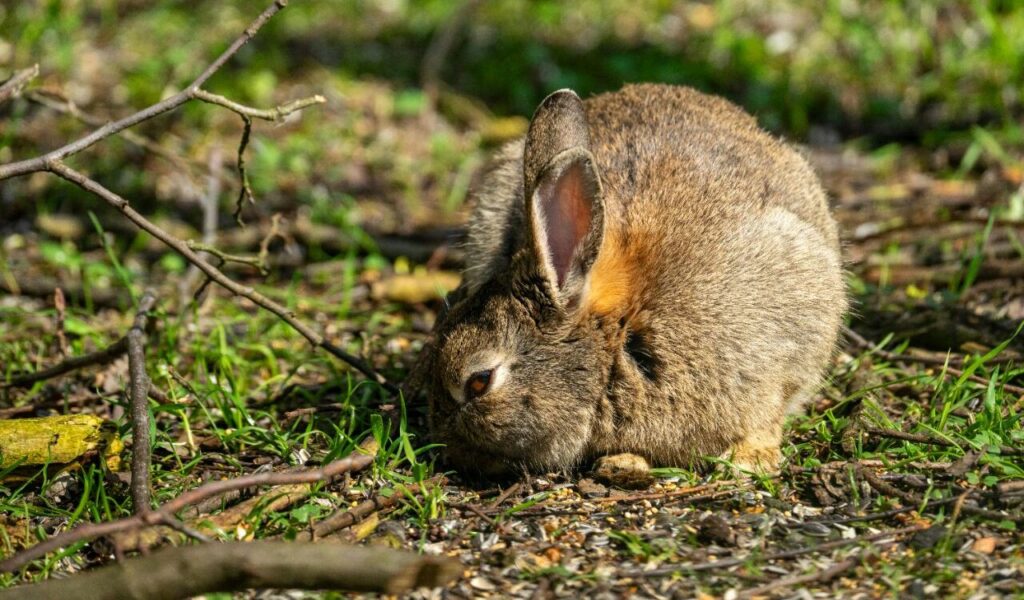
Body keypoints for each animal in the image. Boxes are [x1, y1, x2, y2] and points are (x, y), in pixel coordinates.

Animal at [421, 83, 846, 481]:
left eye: (479, 381)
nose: (447, 450)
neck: (621, 332)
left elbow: (769, 411)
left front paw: (750, 460)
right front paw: (624, 460)